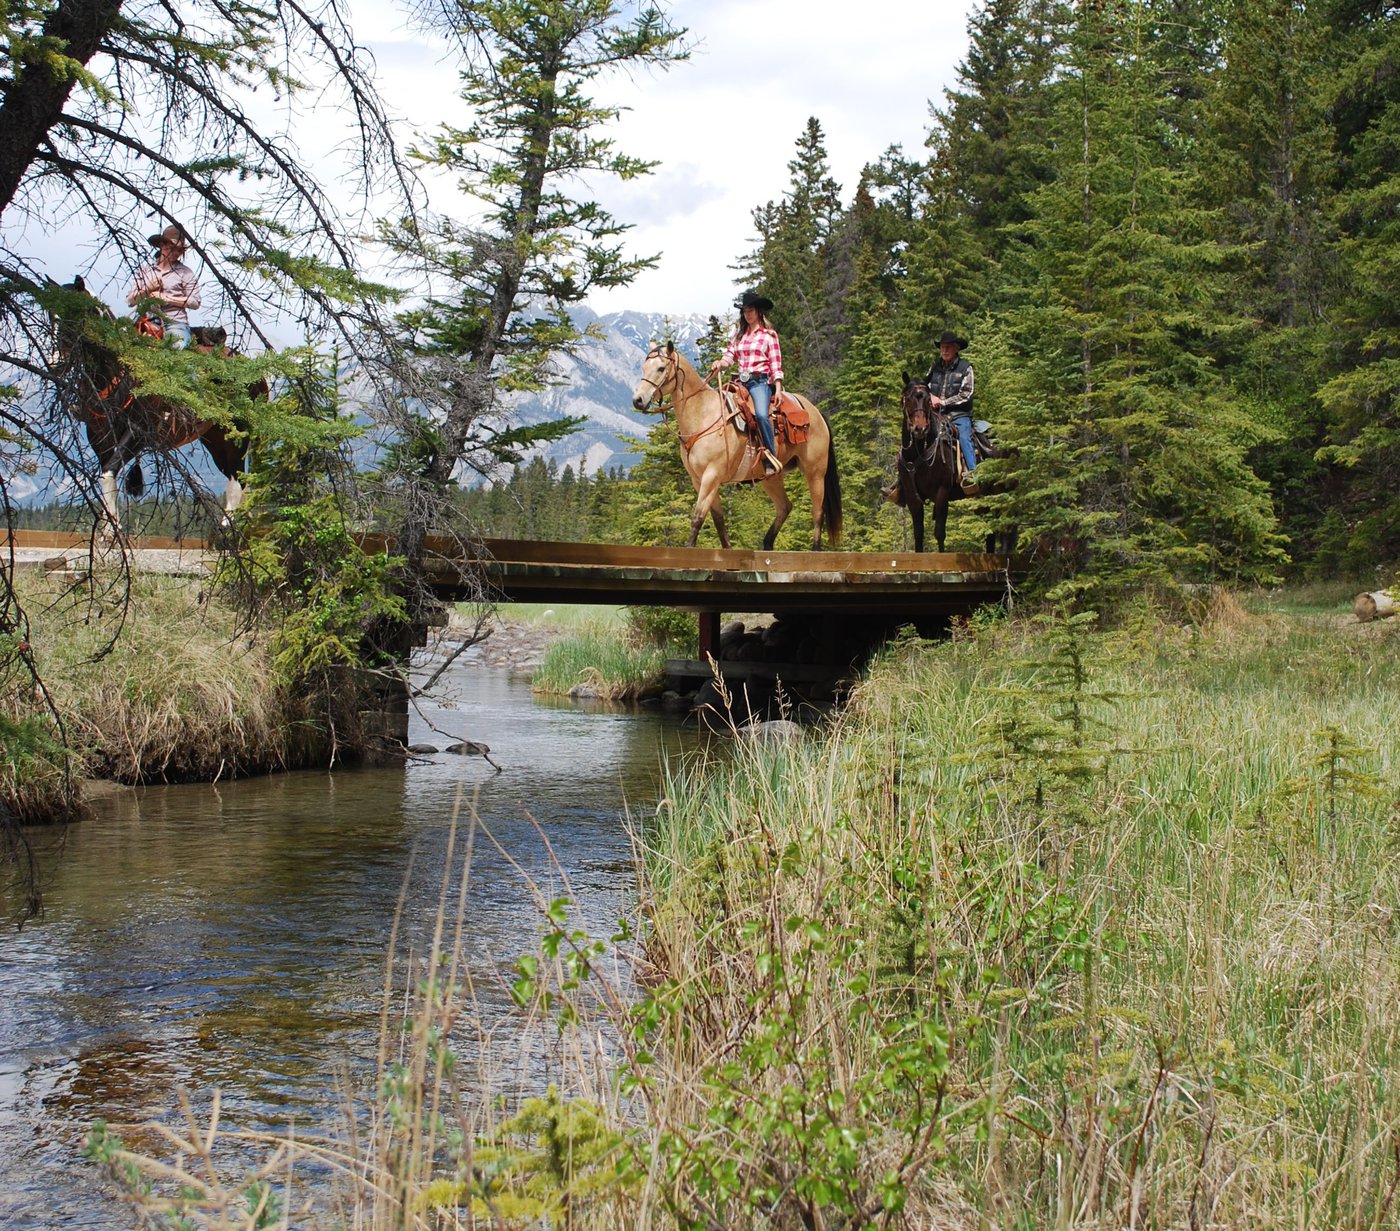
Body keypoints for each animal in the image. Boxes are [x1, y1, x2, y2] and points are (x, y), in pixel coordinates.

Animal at [47, 277, 263, 526]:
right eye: (49, 314)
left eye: (72, 312)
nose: (55, 364)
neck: (115, 372)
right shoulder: (100, 440)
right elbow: (108, 482)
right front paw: (109, 529)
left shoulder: (138, 435)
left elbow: (108, 474)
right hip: (215, 439)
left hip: (237, 436)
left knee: (238, 483)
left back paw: (227, 527)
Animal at [635, 337, 840, 548]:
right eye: (644, 367)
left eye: (661, 368)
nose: (638, 400)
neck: (704, 416)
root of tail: (815, 411)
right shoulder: (698, 479)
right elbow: (719, 521)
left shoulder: (712, 475)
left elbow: (698, 518)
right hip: (771, 478)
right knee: (785, 506)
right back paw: (767, 544)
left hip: (815, 471)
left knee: (817, 512)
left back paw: (815, 549)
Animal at [896, 369, 1019, 554]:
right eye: (907, 398)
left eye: (928, 400)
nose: (920, 429)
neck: (920, 452)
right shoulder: (912, 497)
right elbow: (918, 534)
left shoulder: (942, 492)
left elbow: (940, 532)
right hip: (983, 499)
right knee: (991, 531)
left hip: (1005, 495)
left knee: (1006, 529)